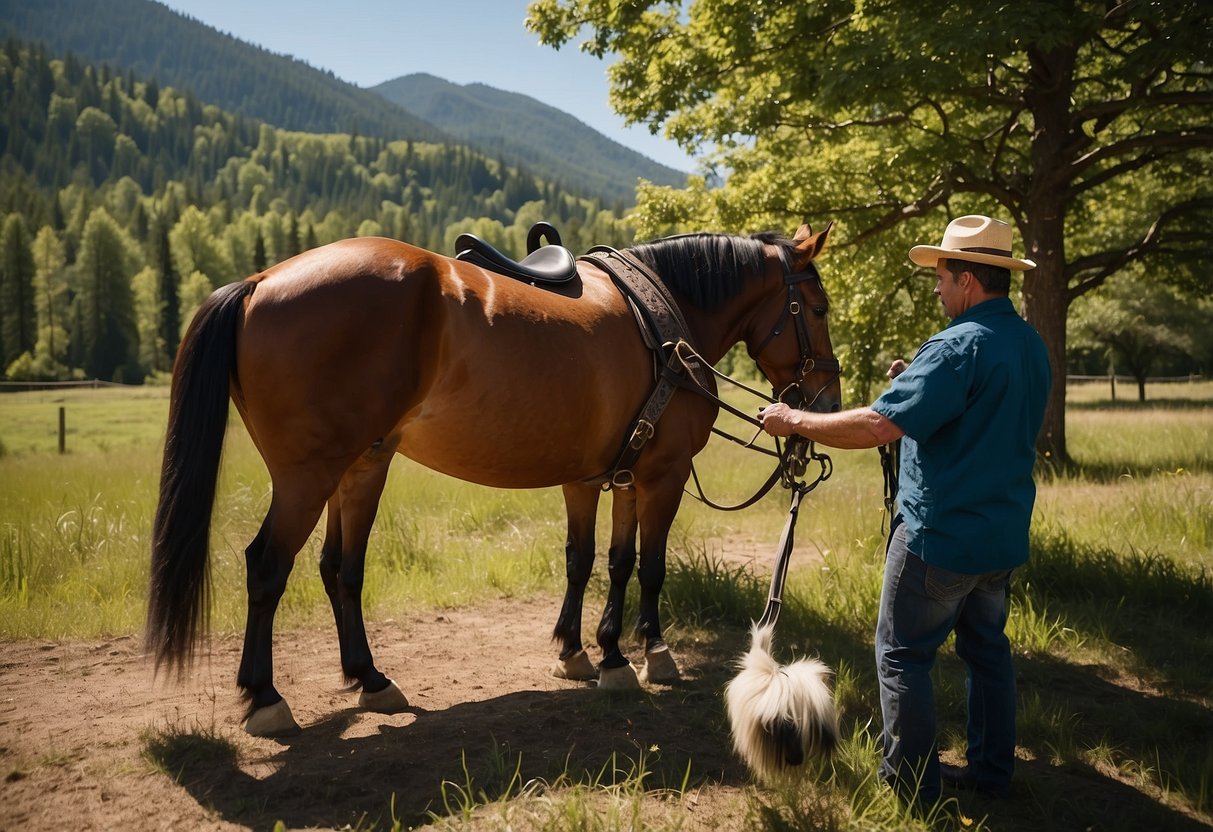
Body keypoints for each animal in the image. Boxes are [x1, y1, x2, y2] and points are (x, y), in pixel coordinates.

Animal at [146, 223, 839, 737]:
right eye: (819, 307)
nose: (826, 402)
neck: (665, 323)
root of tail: (260, 282)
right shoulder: (658, 477)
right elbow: (643, 566)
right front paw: (642, 653)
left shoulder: (598, 479)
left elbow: (590, 560)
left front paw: (581, 651)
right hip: (307, 476)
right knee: (267, 566)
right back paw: (265, 698)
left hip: (360, 468)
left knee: (340, 569)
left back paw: (370, 679)